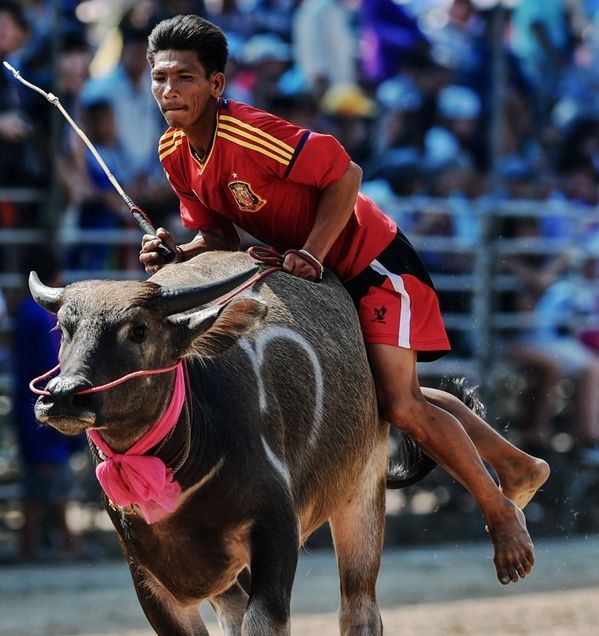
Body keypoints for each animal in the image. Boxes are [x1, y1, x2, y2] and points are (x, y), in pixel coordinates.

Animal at [29, 250, 432, 636]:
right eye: (63, 329)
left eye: (139, 330)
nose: (63, 396)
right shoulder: (148, 575)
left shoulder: (277, 532)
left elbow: (262, 622)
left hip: (362, 489)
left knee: (359, 608)